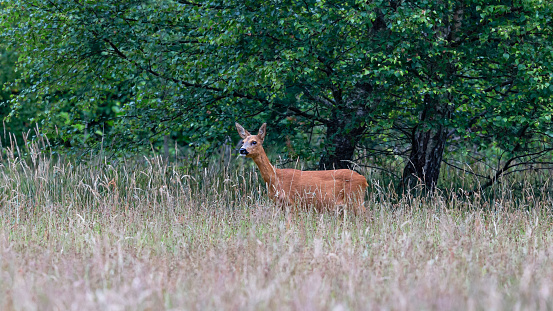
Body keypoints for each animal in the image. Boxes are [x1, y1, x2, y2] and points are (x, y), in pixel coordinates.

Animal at [234, 122, 366, 214]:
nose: (242, 150)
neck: (276, 178)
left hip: (355, 198)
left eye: (254, 142)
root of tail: (364, 180)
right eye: (243, 141)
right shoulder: (279, 204)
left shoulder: (293, 203)